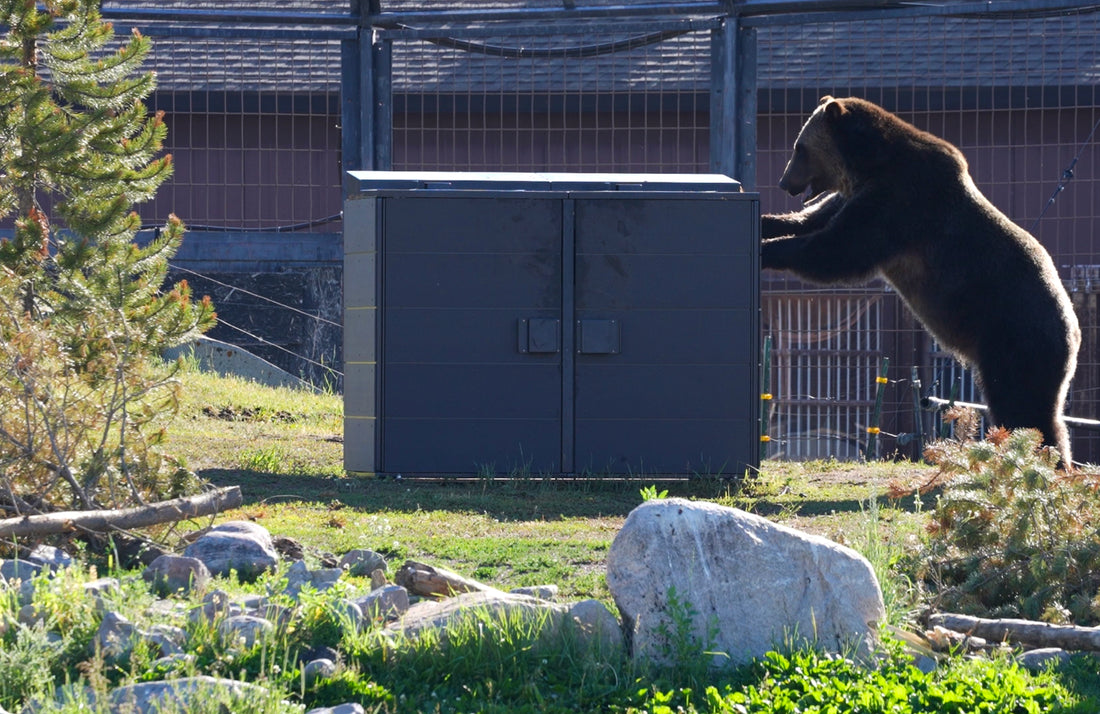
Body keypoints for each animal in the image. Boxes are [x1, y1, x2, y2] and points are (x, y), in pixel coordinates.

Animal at [761, 95, 1080, 467]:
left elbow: (837, 250)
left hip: (1013, 338)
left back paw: (1044, 460)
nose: (784, 182)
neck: (868, 165)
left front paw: (768, 250)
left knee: (1021, 403)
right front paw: (767, 222)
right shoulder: (856, 196)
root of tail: (1074, 330)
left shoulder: (900, 202)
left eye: (799, 148)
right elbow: (808, 221)